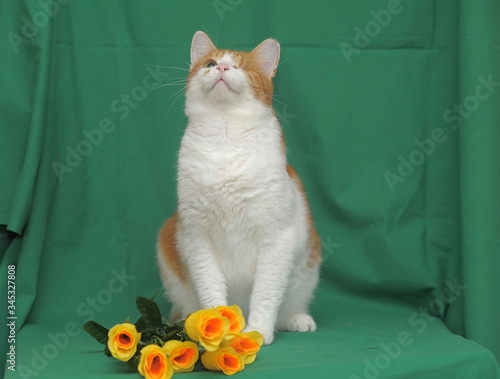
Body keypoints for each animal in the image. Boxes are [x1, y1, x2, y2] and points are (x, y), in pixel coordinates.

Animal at [156, 31, 320, 346]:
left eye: (241, 66)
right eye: (210, 63)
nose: (221, 67)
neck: (225, 134)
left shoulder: (276, 239)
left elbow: (266, 293)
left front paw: (257, 331)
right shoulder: (197, 237)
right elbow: (211, 289)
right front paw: (215, 333)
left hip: (309, 263)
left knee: (289, 304)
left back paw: (296, 318)